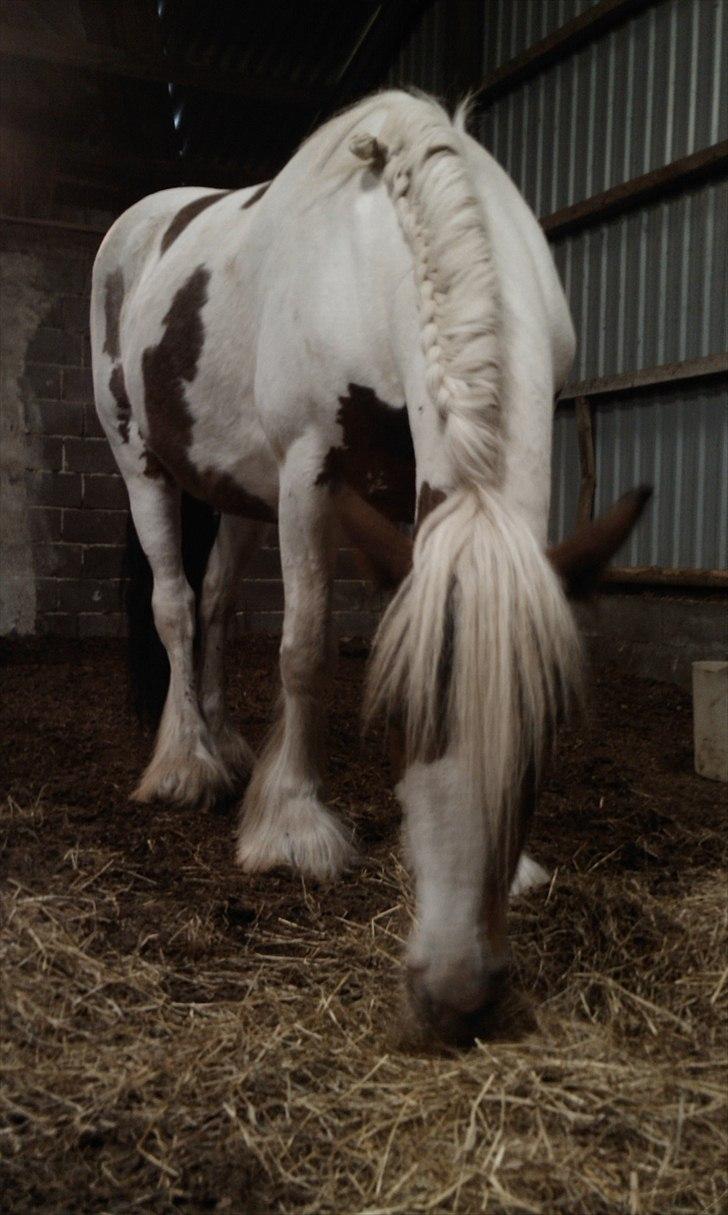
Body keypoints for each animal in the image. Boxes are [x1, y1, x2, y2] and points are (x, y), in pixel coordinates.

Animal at [89, 92, 651, 1044]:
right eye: (395, 720)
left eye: (546, 729)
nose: (457, 994)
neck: (377, 255)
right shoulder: (307, 471)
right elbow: (306, 646)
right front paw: (293, 828)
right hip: (145, 466)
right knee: (173, 604)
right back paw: (186, 766)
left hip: (238, 492)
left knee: (214, 603)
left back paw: (226, 745)